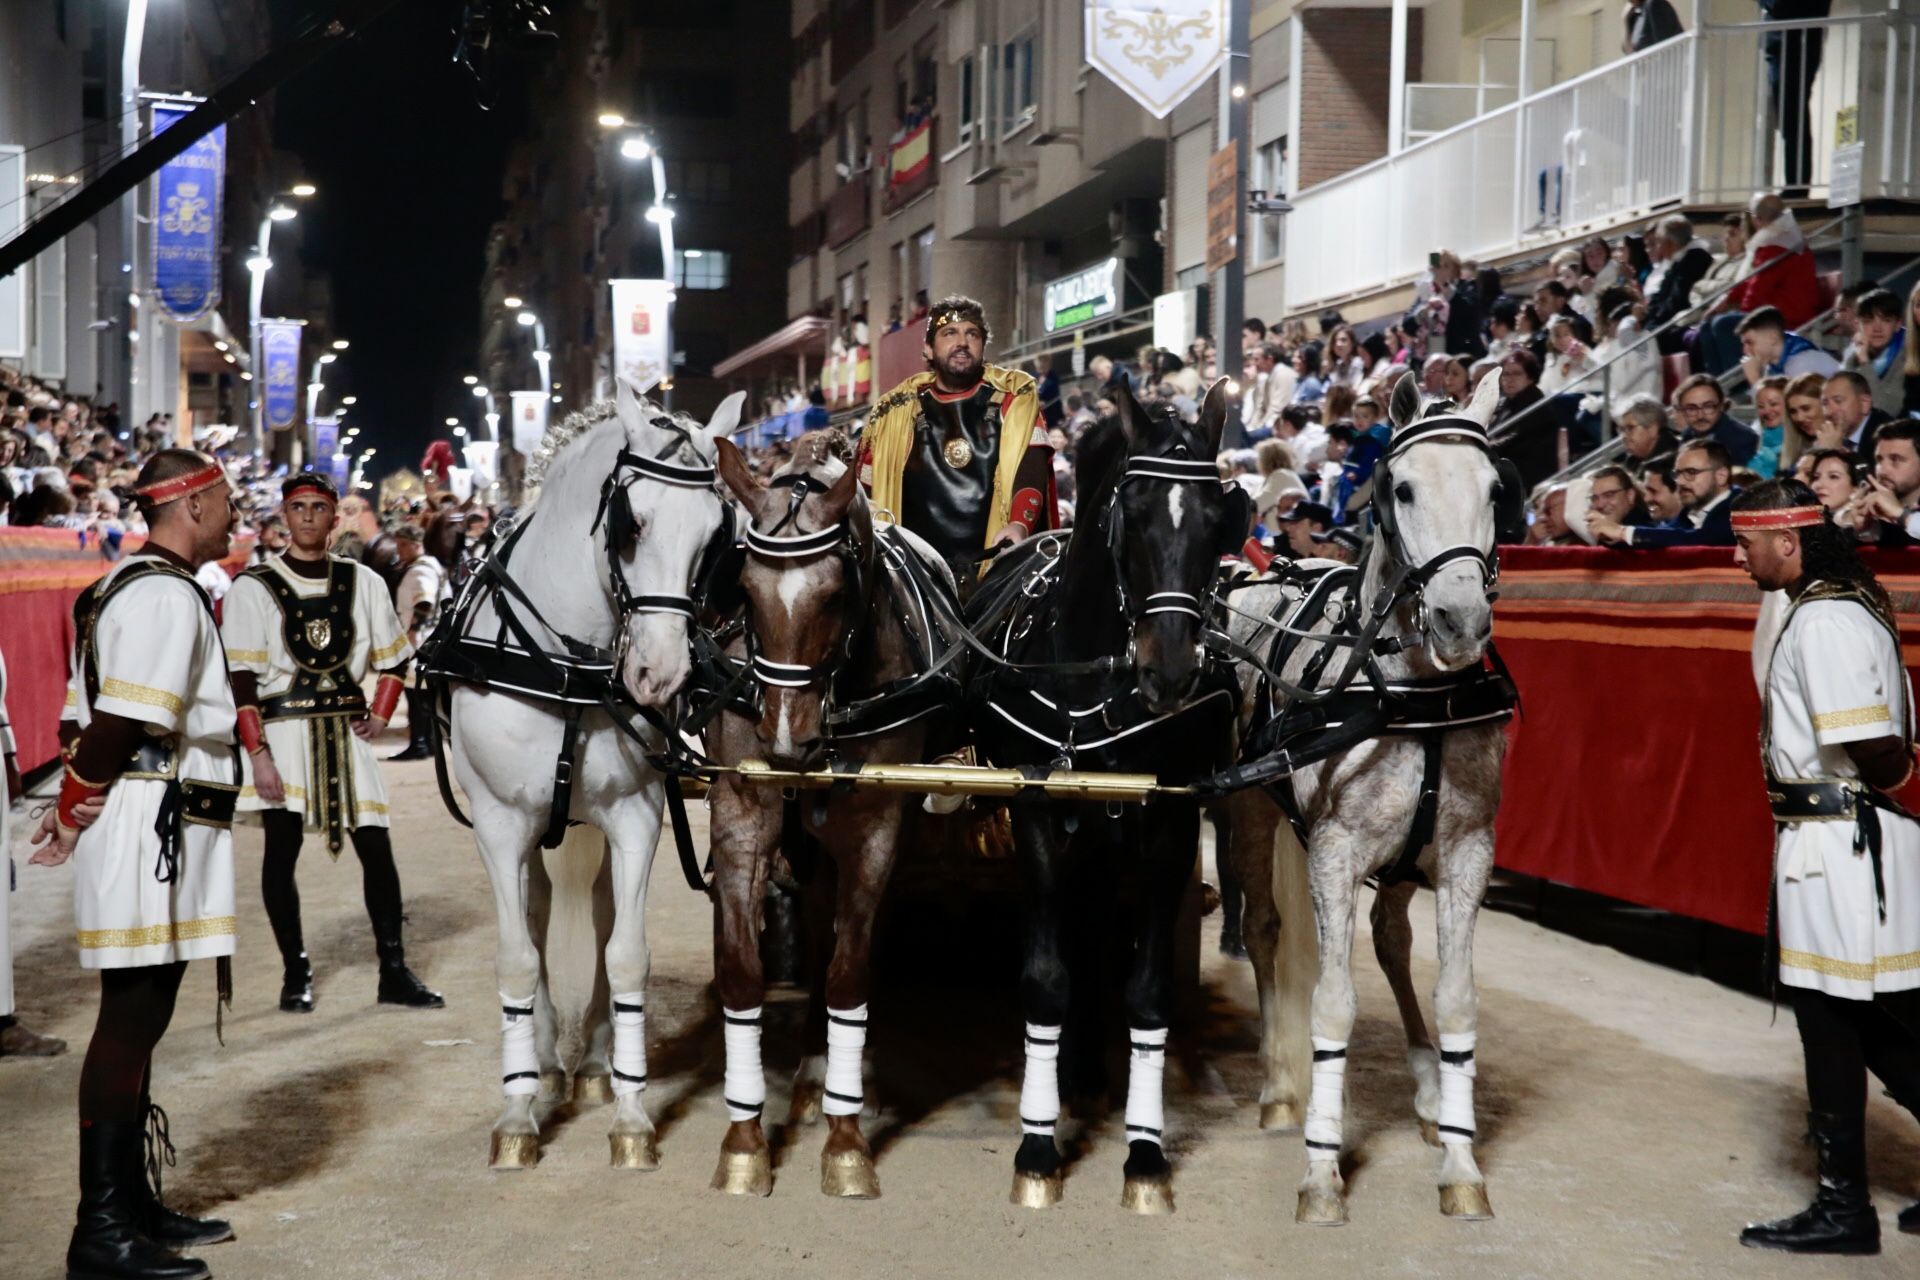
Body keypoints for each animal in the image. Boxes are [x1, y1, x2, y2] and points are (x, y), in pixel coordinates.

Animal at [445, 379, 737, 1174]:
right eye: (632, 522)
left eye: (715, 537)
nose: (659, 676)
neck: (566, 666)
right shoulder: (498, 825)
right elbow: (517, 960)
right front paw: (517, 1112)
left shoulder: (636, 817)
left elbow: (628, 956)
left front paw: (633, 1116)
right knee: (537, 918)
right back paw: (546, 1066)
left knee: (602, 913)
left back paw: (600, 1064)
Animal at [967, 378, 1251, 1212]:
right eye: (1134, 512)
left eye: (1220, 520)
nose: (1171, 668)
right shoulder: (1038, 813)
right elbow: (1047, 978)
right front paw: (1036, 1144)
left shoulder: (1170, 822)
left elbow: (1149, 989)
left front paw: (1146, 1153)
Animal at [1228, 368, 1512, 1220]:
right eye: (1403, 488)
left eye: (1495, 488)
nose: (1460, 619)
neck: (1412, 694)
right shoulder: (1334, 851)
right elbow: (1332, 1002)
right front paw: (1322, 1170)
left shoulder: (1464, 852)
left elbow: (1456, 1000)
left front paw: (1461, 1162)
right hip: (1247, 811)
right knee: (1262, 928)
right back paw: (1280, 1088)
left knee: (1389, 938)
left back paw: (1426, 1090)